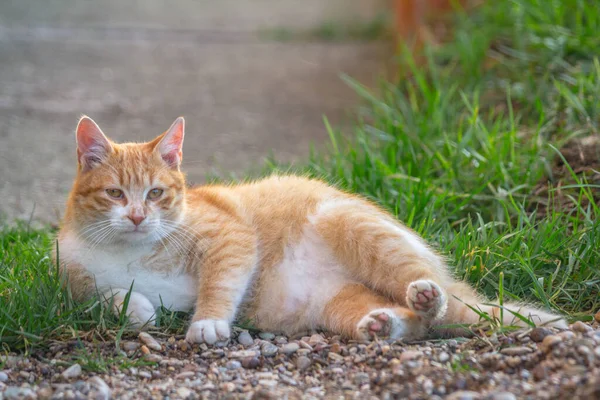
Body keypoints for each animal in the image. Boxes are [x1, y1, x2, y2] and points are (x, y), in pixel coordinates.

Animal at [55, 115, 568, 344]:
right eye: (116, 194)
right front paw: (139, 310)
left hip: (356, 230)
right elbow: (107, 298)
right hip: (334, 303)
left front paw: (207, 322)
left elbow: (219, 283)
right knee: (415, 323)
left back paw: (426, 295)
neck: (133, 251)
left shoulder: (229, 238)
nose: (138, 217)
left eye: (157, 193)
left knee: (434, 299)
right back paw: (384, 323)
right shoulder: (73, 281)